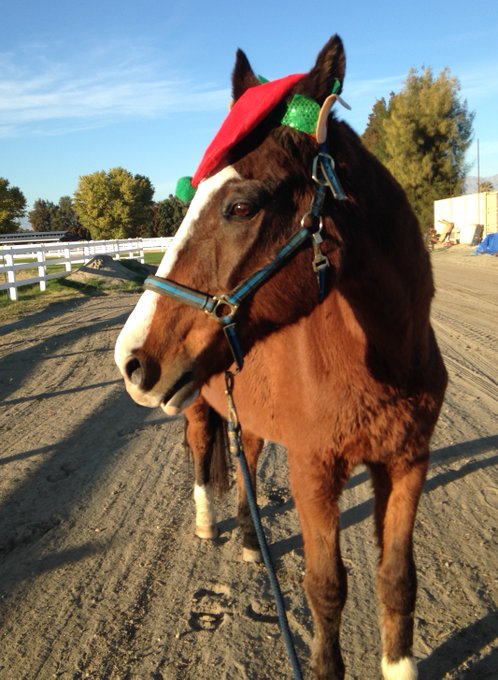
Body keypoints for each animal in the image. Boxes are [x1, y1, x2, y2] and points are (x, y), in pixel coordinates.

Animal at [114, 34, 447, 680]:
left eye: (241, 207)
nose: (132, 359)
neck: (380, 364)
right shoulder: (314, 472)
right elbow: (326, 588)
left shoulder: (407, 462)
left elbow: (398, 580)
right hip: (198, 406)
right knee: (202, 454)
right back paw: (207, 524)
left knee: (244, 456)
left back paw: (249, 541)